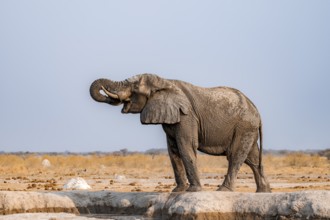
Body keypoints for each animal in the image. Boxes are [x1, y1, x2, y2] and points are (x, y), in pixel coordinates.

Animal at [89, 73, 270, 192]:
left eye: (134, 88)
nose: (105, 91)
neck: (165, 82)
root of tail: (256, 109)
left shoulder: (187, 116)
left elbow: (185, 146)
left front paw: (193, 191)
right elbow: (173, 150)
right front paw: (178, 191)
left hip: (244, 125)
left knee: (235, 156)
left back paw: (223, 190)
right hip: (248, 128)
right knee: (253, 159)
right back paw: (264, 192)